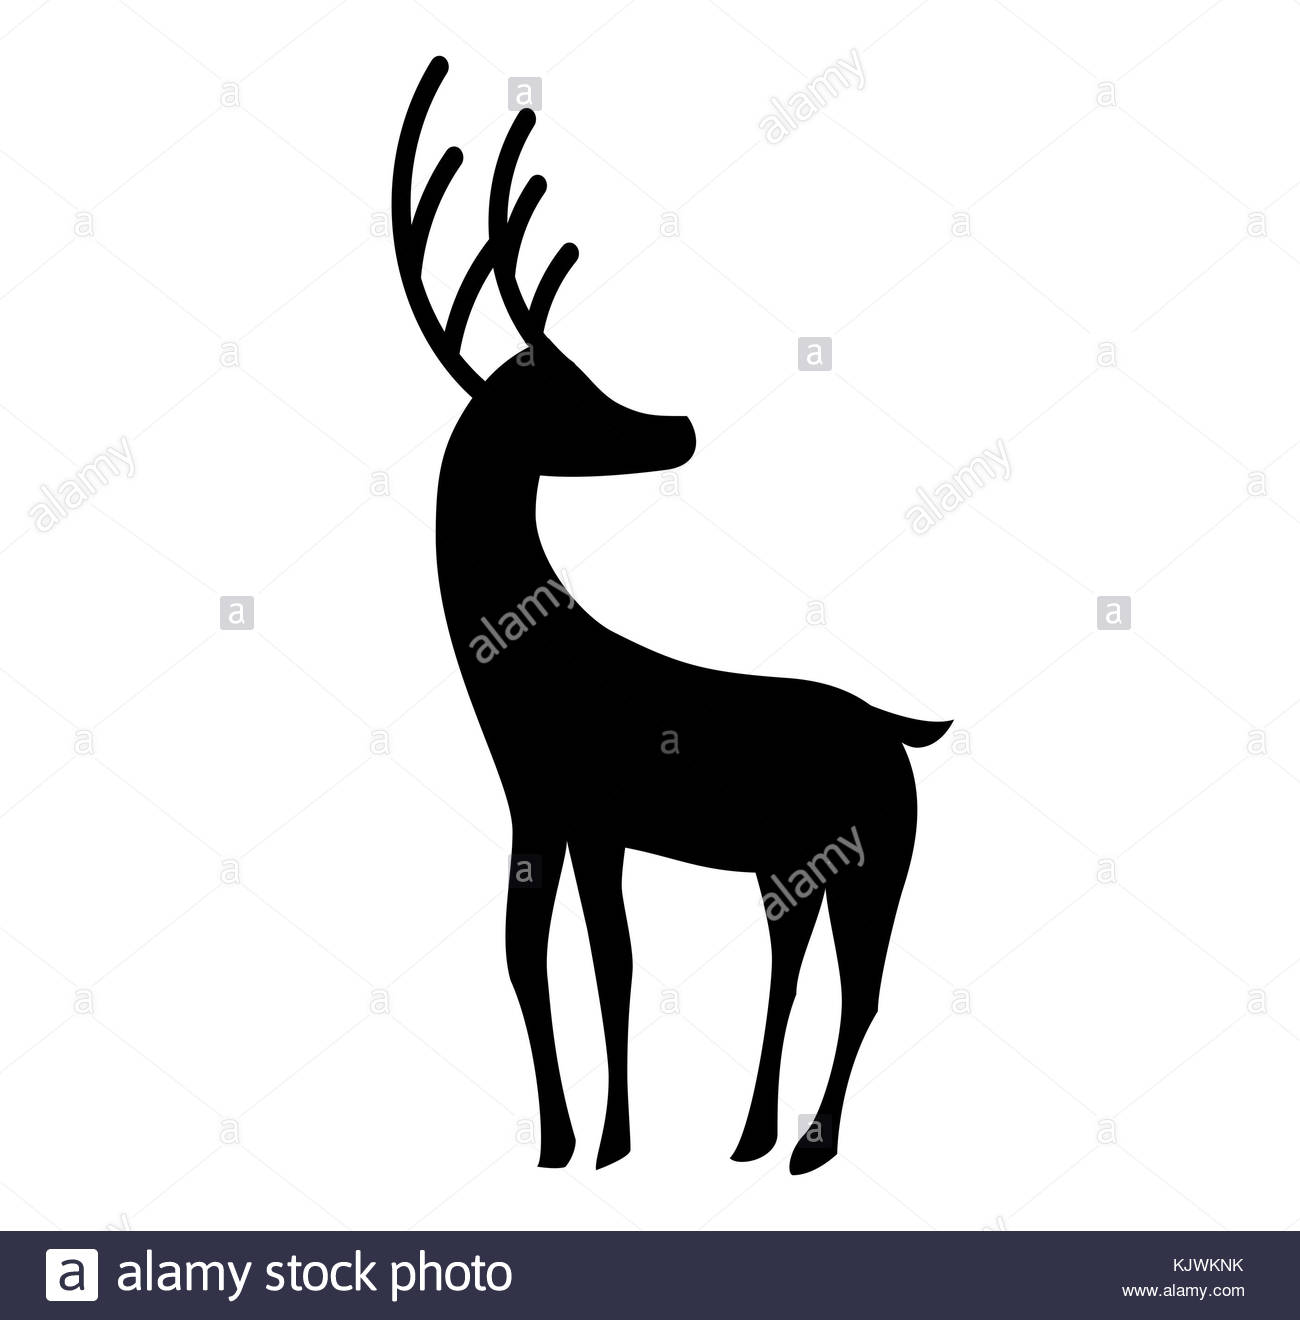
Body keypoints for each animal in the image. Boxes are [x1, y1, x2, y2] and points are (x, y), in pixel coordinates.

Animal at [392, 56, 952, 1175]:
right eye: (566, 391)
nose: (677, 426)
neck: (526, 669)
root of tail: (902, 730)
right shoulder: (544, 810)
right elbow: (529, 958)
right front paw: (564, 1141)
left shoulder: (592, 813)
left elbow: (608, 963)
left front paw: (609, 1140)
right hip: (794, 863)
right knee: (798, 966)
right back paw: (755, 1135)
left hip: (881, 853)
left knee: (863, 986)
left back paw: (809, 1145)